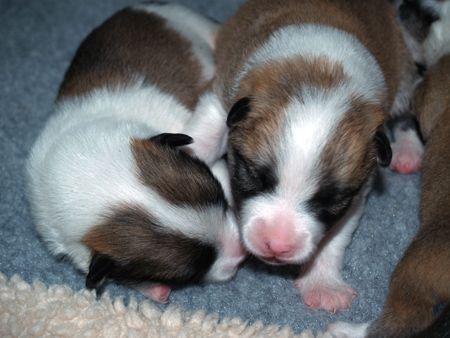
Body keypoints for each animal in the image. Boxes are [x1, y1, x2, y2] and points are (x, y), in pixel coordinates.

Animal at [186, 0, 418, 312]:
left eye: (331, 201)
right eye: (254, 177)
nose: (277, 246)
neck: (320, 70)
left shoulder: (357, 192)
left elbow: (335, 237)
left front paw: (323, 284)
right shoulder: (223, 96)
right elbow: (203, 134)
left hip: (402, 67)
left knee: (405, 110)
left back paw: (409, 151)